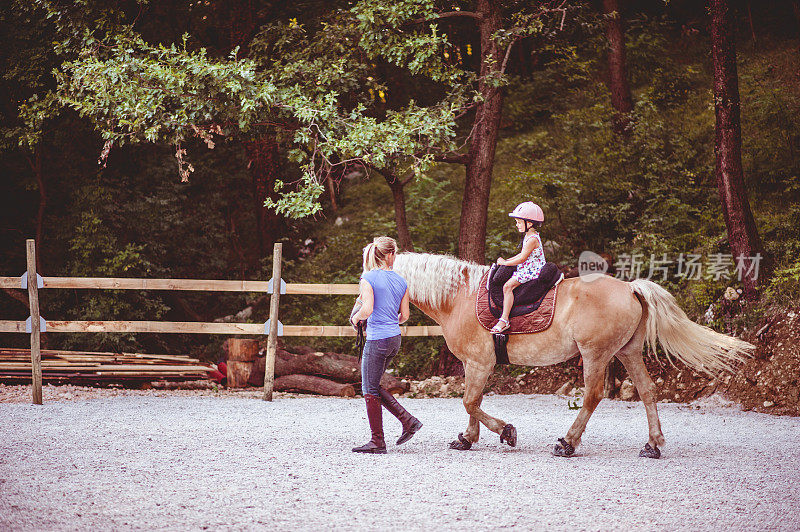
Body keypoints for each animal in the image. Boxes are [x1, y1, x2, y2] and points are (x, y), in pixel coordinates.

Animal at [384, 252, 752, 458]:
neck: (458, 297)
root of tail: (630, 287)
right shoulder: (473, 364)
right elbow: (472, 402)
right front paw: (467, 439)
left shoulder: (479, 363)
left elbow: (470, 402)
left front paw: (505, 432)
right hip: (628, 353)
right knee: (647, 392)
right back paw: (653, 444)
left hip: (596, 355)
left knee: (592, 396)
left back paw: (568, 443)